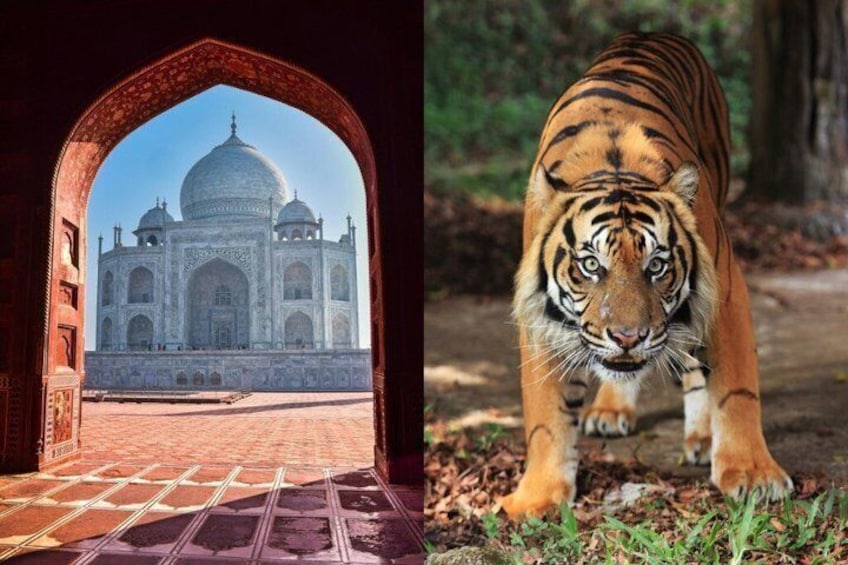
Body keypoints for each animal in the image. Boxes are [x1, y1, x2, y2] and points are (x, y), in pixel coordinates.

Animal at [501, 32, 793, 518]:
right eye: (590, 266)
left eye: (656, 266)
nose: (628, 337)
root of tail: (651, 34)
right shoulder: (539, 317)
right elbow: (544, 414)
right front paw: (538, 496)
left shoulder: (725, 292)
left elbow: (736, 389)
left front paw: (753, 475)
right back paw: (611, 409)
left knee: (696, 364)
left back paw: (703, 436)